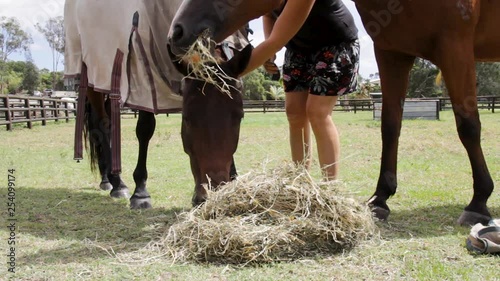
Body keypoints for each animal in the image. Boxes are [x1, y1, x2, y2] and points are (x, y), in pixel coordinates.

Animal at [65, 0, 250, 208]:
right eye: (187, 119)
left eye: (240, 117)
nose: (213, 189)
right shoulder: (145, 83)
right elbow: (145, 130)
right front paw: (140, 192)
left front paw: (234, 180)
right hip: (94, 80)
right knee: (102, 126)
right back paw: (117, 183)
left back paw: (106, 178)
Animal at [168, 0, 496, 224]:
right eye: (187, 120)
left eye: (239, 117)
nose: (178, 31)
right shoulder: (392, 52)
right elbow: (390, 126)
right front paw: (380, 199)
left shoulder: (455, 46)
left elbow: (468, 125)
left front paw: (478, 202)